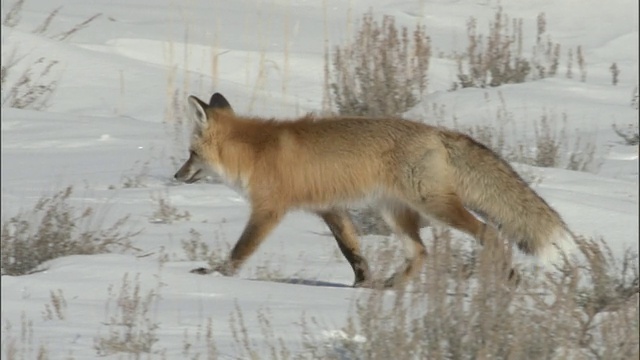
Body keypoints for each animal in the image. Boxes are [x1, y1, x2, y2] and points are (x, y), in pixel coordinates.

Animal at [174, 92, 576, 286]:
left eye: (191, 153)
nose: (177, 176)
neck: (253, 151)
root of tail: (438, 132)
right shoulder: (330, 208)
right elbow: (352, 250)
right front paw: (361, 284)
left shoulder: (269, 210)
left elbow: (240, 250)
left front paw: (217, 276)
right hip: (394, 212)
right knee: (421, 253)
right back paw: (391, 288)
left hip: (434, 206)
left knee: (490, 233)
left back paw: (508, 281)